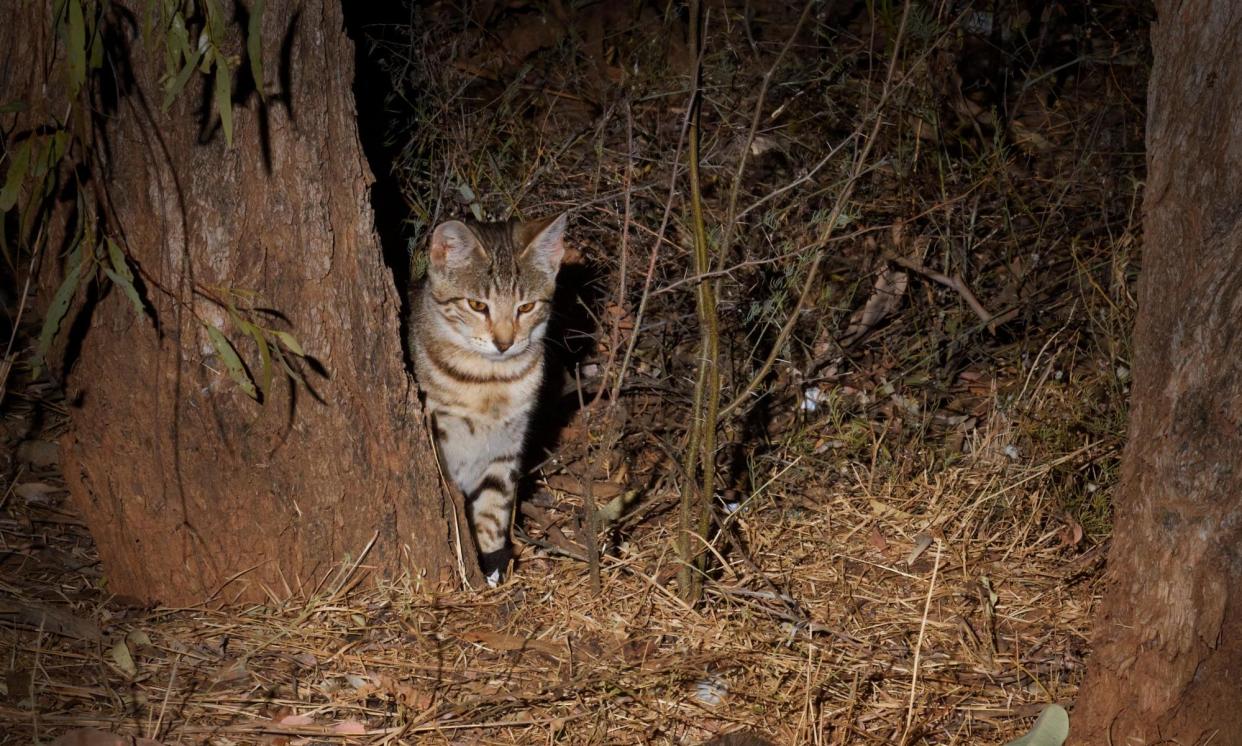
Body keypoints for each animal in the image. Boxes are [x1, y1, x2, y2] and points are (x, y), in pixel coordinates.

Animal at [407, 212, 568, 585]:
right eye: (478, 305)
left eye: (526, 306)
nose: (504, 343)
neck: (489, 382)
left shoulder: (505, 449)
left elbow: (493, 510)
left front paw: (492, 565)